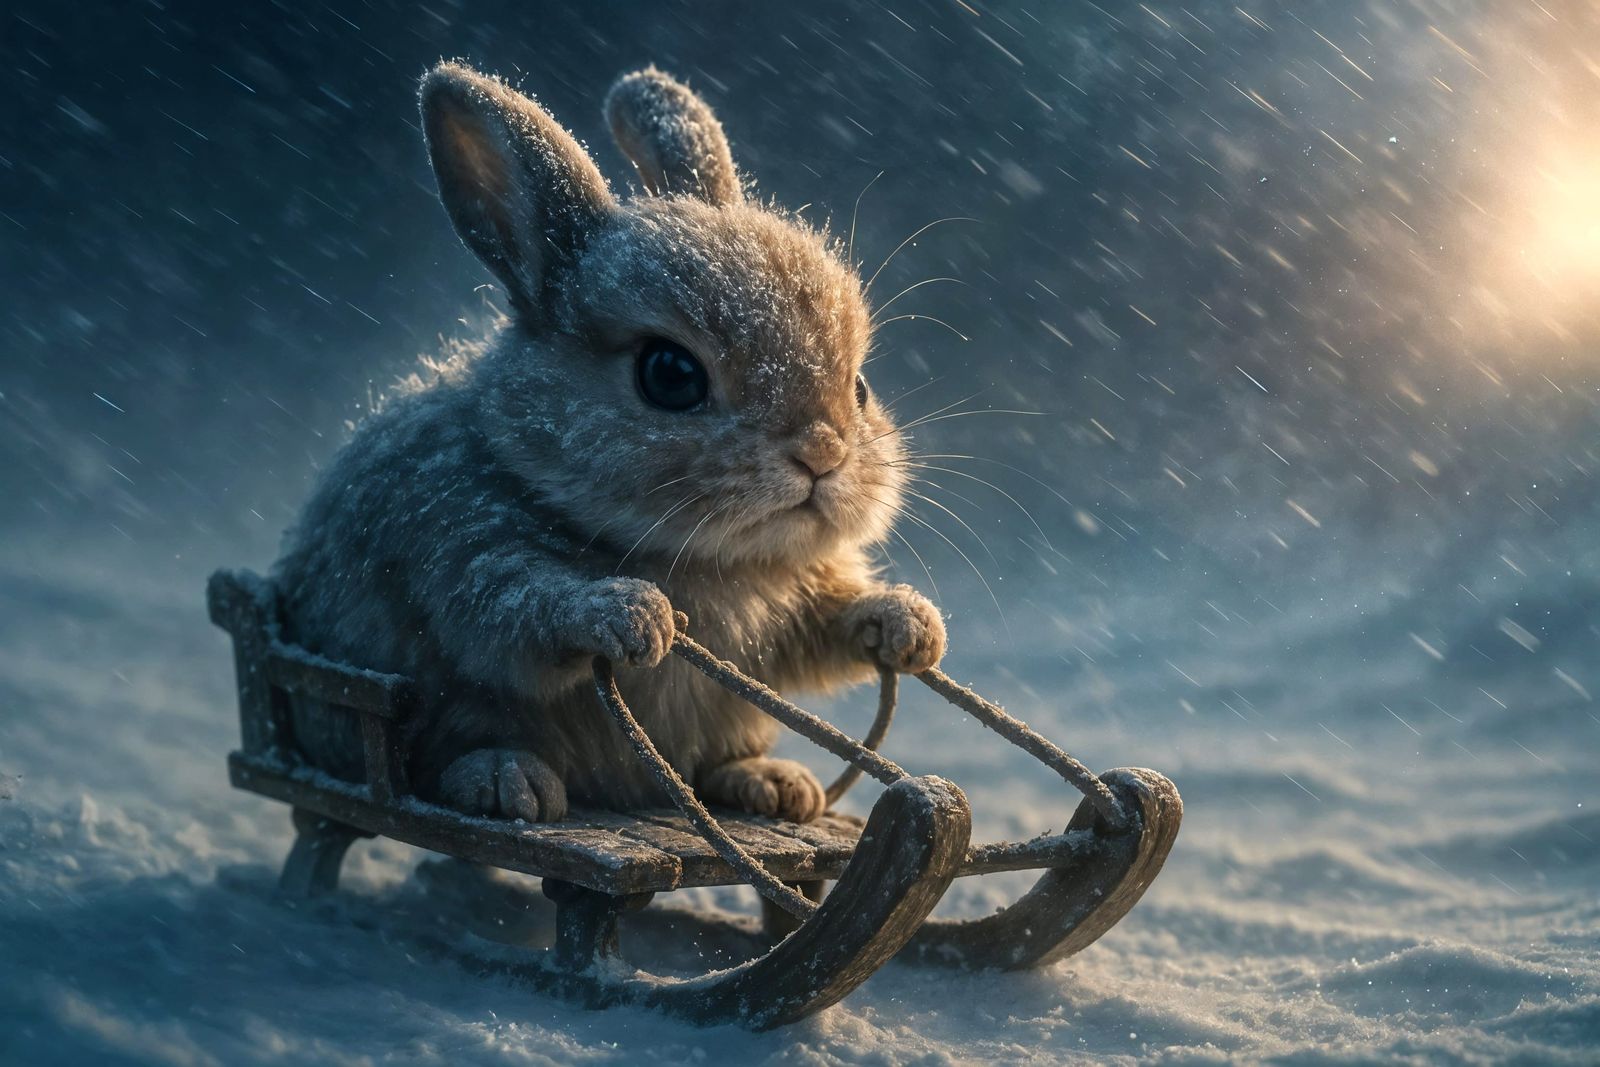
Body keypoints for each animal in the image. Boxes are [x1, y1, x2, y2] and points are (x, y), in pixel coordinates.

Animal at [270, 61, 945, 825]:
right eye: (670, 375)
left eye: (859, 387)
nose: (822, 456)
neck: (700, 557)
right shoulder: (463, 539)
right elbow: (514, 616)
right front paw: (630, 613)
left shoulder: (792, 609)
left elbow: (824, 629)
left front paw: (907, 623)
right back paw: (505, 781)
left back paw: (772, 784)